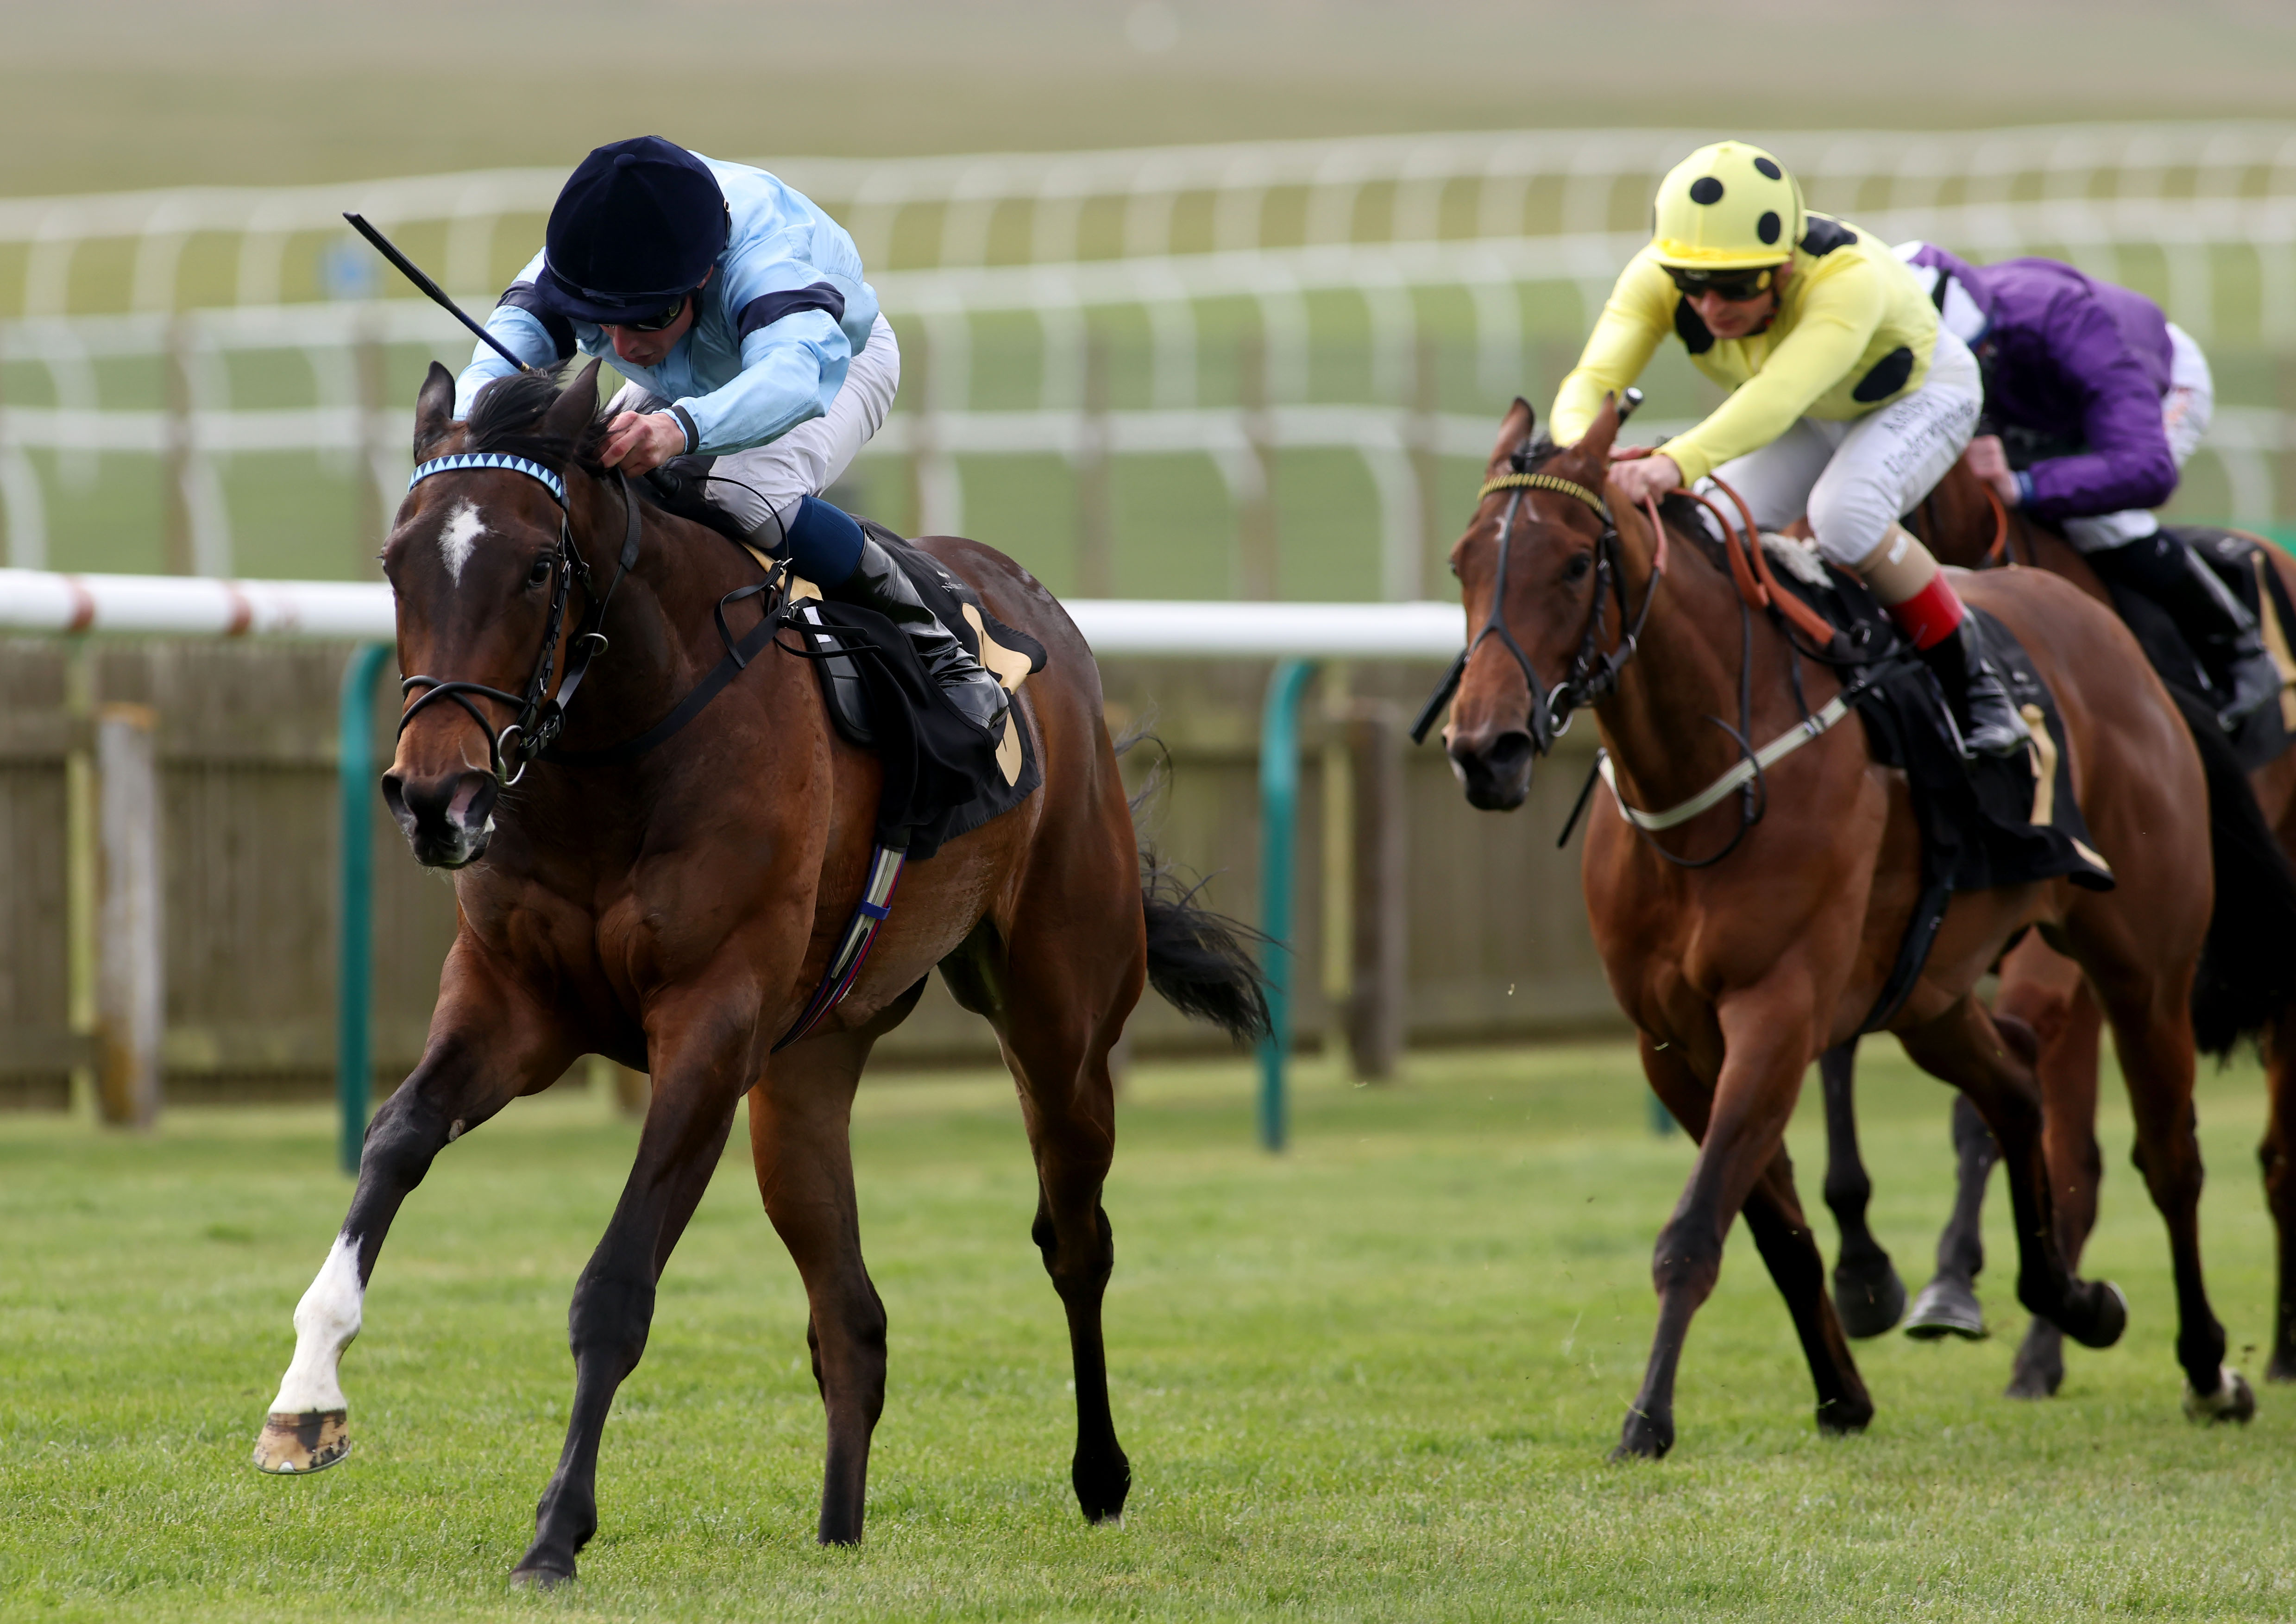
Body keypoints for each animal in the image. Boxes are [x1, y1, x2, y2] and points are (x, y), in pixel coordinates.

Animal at [251, 358, 1277, 1589]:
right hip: (804, 1076)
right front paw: (306, 1397)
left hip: (1059, 1018)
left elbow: (616, 1285)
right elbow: (396, 1138)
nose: (435, 799)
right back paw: (839, 1529)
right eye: (396, 561)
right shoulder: (517, 1001)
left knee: (1075, 1238)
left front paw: (555, 1530)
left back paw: (1102, 1474)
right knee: (852, 1317)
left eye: (539, 564)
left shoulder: (710, 1024)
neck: (619, 750)